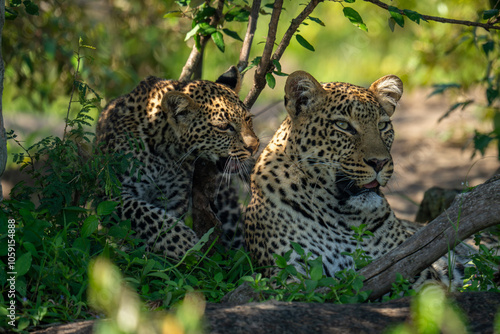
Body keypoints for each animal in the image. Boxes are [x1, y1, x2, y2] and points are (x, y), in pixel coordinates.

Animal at [96, 67, 260, 258]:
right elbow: (145, 214)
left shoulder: (174, 198)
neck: (165, 151)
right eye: (223, 127)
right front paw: (187, 244)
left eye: (247, 119)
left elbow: (160, 220)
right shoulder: (110, 191)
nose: (254, 147)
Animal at [246, 70, 468, 290]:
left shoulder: (411, 266)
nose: (379, 162)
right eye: (343, 125)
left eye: (382, 125)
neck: (344, 220)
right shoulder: (290, 274)